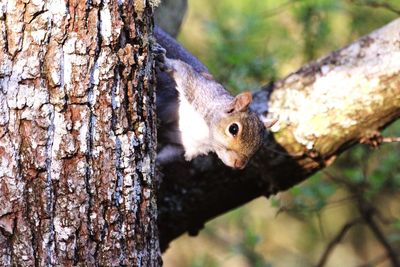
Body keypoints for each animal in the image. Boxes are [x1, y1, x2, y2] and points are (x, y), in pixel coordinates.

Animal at [153, 27, 272, 170]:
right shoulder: (198, 90)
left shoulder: (183, 144)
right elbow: (182, 68)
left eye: (259, 146)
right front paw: (164, 60)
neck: (207, 136)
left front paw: (156, 164)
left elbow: (169, 153)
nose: (239, 165)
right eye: (233, 129)